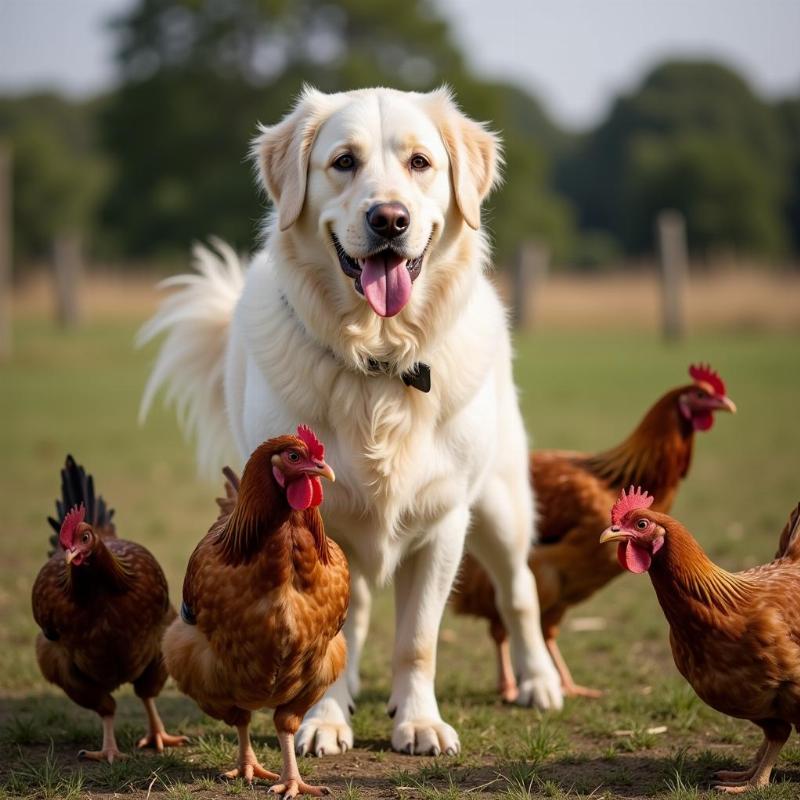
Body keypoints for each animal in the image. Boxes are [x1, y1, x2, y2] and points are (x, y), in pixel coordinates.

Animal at [139, 86, 564, 756]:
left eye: (420, 163)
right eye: (344, 162)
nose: (389, 219)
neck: (378, 361)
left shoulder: (445, 519)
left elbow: (418, 640)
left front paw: (419, 722)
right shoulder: (314, 518)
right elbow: (331, 628)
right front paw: (325, 719)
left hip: (499, 500)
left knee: (519, 590)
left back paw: (539, 682)